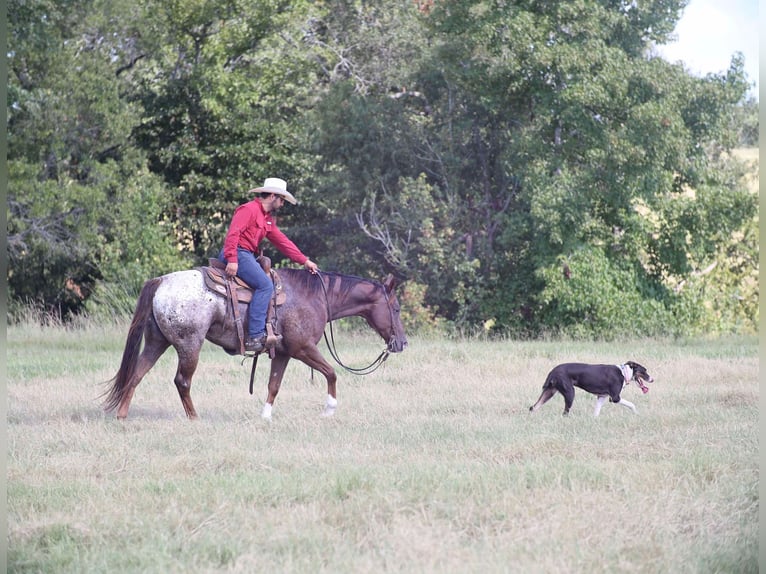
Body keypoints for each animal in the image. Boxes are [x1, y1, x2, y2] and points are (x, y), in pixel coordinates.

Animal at [106, 268, 414, 420]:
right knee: (182, 381)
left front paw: (265, 416)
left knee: (136, 374)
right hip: (189, 344)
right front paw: (329, 409)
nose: (402, 342)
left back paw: (121, 416)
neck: (314, 296)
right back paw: (194, 418)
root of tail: (161, 281)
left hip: (156, 342)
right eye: (397, 308)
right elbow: (331, 372)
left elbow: (273, 385)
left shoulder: (284, 353)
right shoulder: (304, 349)